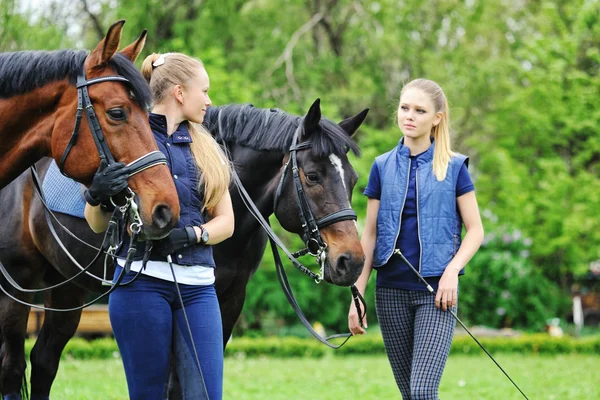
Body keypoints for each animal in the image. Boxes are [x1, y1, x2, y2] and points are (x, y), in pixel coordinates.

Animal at [0, 99, 368, 396]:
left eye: (351, 179)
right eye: (312, 176)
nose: (351, 261)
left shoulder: (228, 301)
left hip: (68, 291)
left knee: (44, 362)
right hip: (16, 290)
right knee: (13, 367)